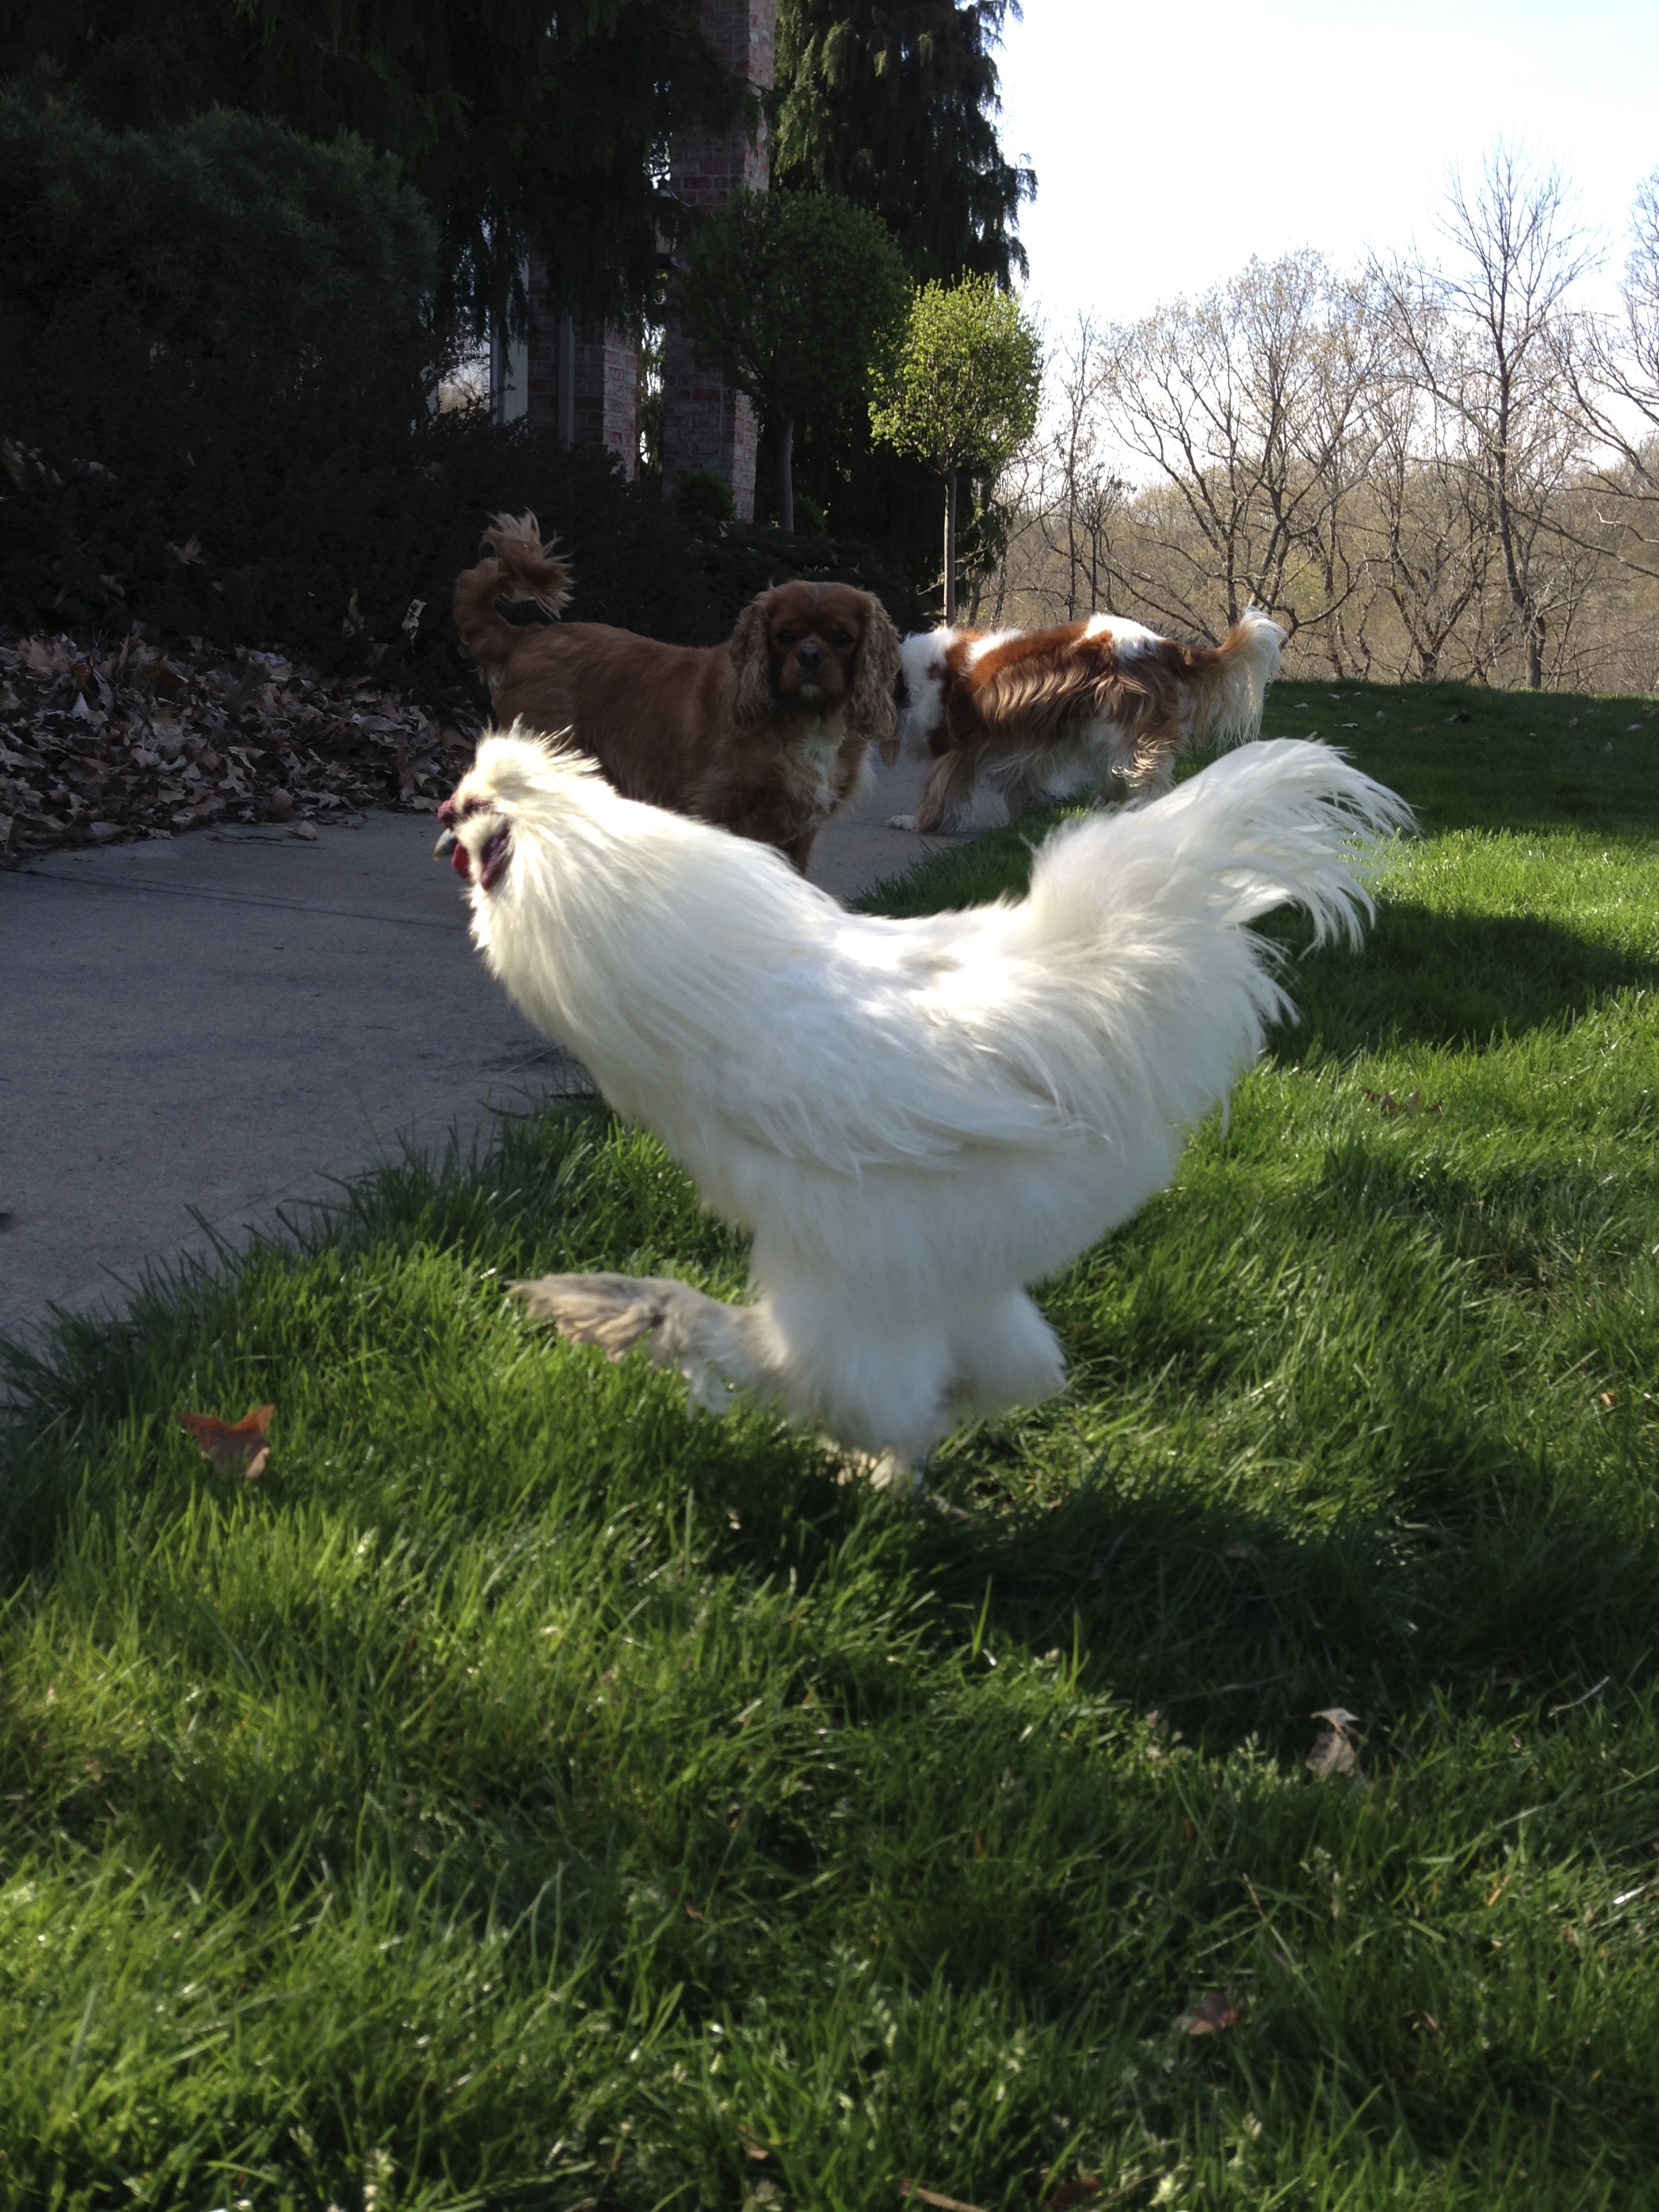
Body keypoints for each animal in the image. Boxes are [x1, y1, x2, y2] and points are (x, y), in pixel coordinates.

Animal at [453, 512, 903, 873]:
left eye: (843, 639)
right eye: (785, 636)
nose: (810, 656)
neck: (807, 720)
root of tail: (527, 635)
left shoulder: (799, 833)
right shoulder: (716, 809)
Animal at [889, 608, 1286, 834]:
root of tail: (1163, 645)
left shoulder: (956, 745)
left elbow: (938, 791)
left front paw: (916, 823)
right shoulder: (1017, 744)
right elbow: (1022, 785)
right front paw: (1028, 820)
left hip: (1118, 732)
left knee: (1146, 782)